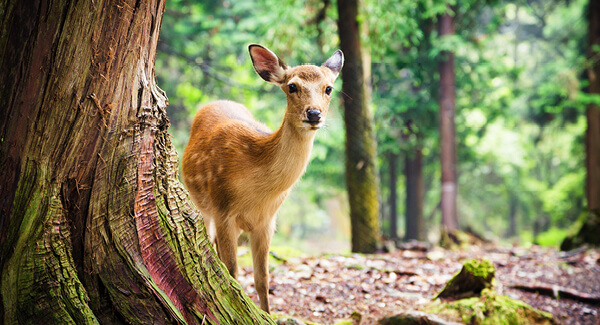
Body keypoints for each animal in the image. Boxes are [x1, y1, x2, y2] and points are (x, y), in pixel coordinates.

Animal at [180, 43, 342, 312]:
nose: (314, 113)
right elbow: (232, 272)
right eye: (292, 86)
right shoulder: (223, 210)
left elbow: (262, 279)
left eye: (328, 88)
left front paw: (268, 315)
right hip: (204, 205)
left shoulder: (267, 221)